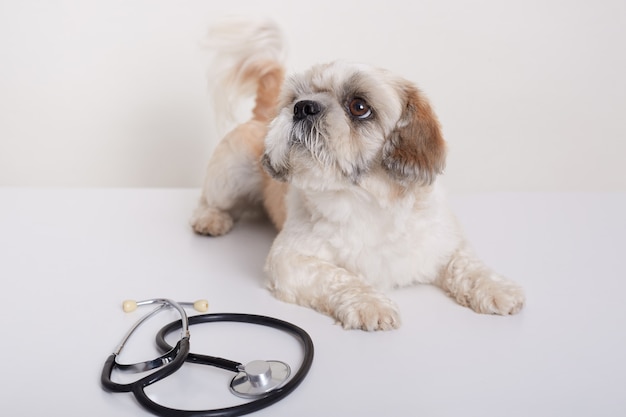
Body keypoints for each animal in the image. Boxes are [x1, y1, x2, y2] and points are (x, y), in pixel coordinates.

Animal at [193, 19, 524, 330]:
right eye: (295, 98)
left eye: (359, 106)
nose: (303, 107)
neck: (367, 202)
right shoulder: (290, 260)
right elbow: (338, 277)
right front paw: (369, 304)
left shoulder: (446, 243)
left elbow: (467, 265)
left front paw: (496, 287)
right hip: (230, 175)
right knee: (209, 200)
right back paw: (211, 219)